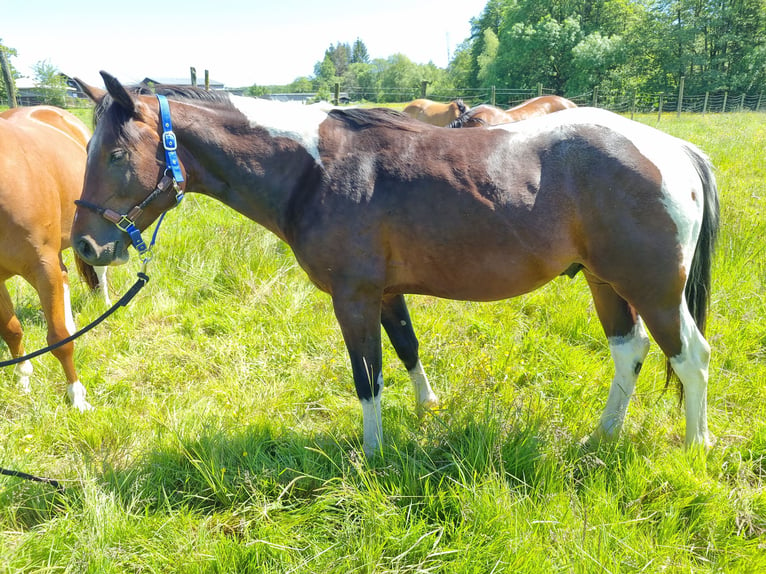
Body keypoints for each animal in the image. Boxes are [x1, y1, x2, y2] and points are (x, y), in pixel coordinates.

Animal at [0, 103, 109, 410]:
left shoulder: (41, 264)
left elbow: (59, 339)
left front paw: (78, 398)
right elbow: (11, 328)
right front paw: (23, 380)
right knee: (64, 276)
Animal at [72, 74, 720, 456]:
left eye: (116, 153)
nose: (84, 247)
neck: (317, 169)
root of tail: (676, 150)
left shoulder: (353, 297)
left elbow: (368, 376)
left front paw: (372, 454)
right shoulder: (385, 293)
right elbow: (406, 348)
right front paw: (427, 411)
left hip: (654, 290)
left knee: (690, 357)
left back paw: (696, 446)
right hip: (606, 283)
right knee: (629, 351)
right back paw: (602, 435)